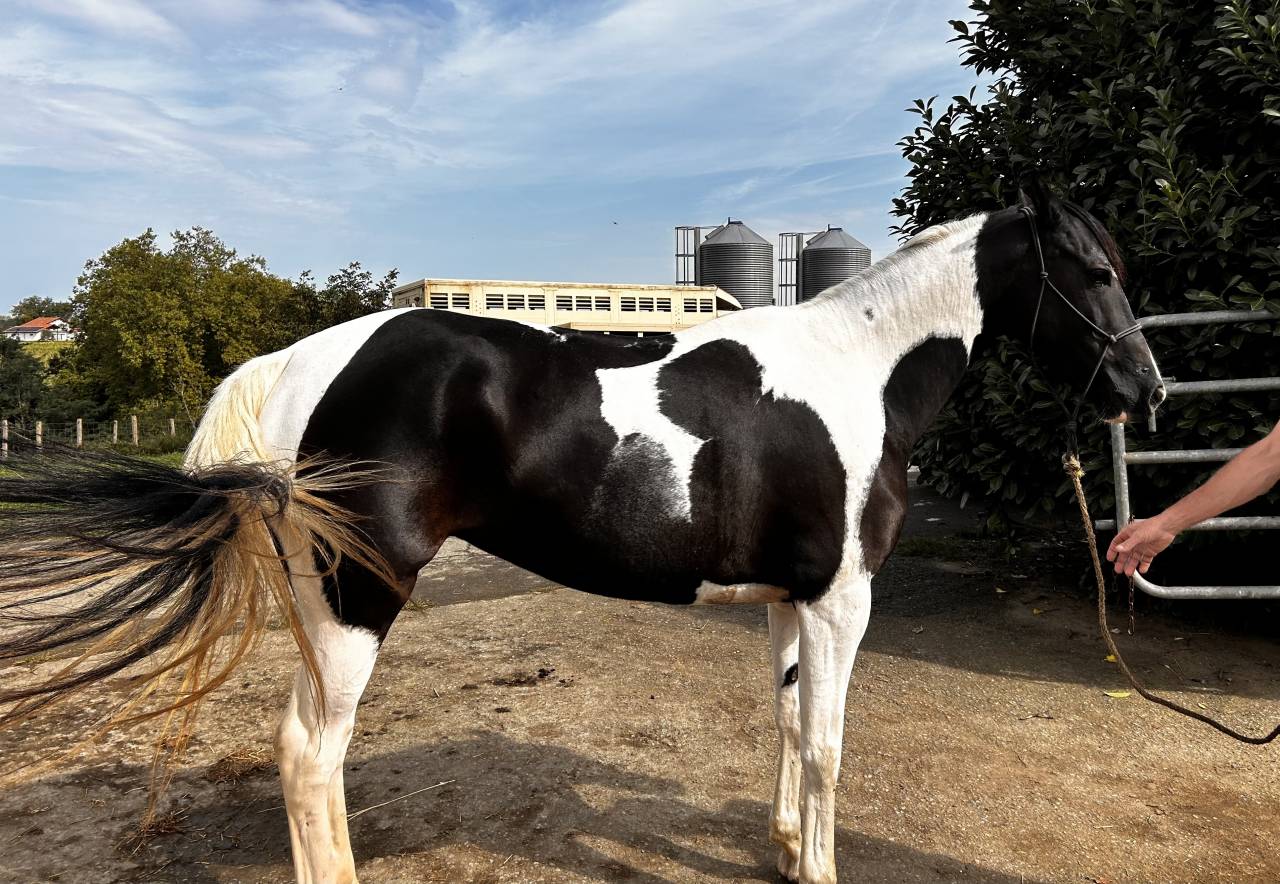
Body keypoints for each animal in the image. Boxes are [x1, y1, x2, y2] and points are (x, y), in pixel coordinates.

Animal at [0, 184, 1164, 884]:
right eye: (1095, 272)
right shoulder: (842, 599)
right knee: (307, 754)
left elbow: (790, 729)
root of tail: (294, 363)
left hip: (318, 601)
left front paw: (786, 847)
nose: (1144, 390)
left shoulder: (791, 602)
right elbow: (831, 745)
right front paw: (820, 862)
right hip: (359, 599)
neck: (856, 371)